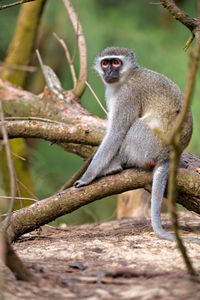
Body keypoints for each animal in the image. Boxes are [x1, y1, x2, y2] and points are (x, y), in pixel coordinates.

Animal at [74, 47, 198, 244]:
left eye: (116, 62)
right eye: (105, 63)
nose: (109, 72)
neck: (127, 77)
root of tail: (168, 155)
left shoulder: (128, 94)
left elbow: (117, 132)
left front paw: (87, 177)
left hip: (149, 145)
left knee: (135, 127)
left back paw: (116, 165)